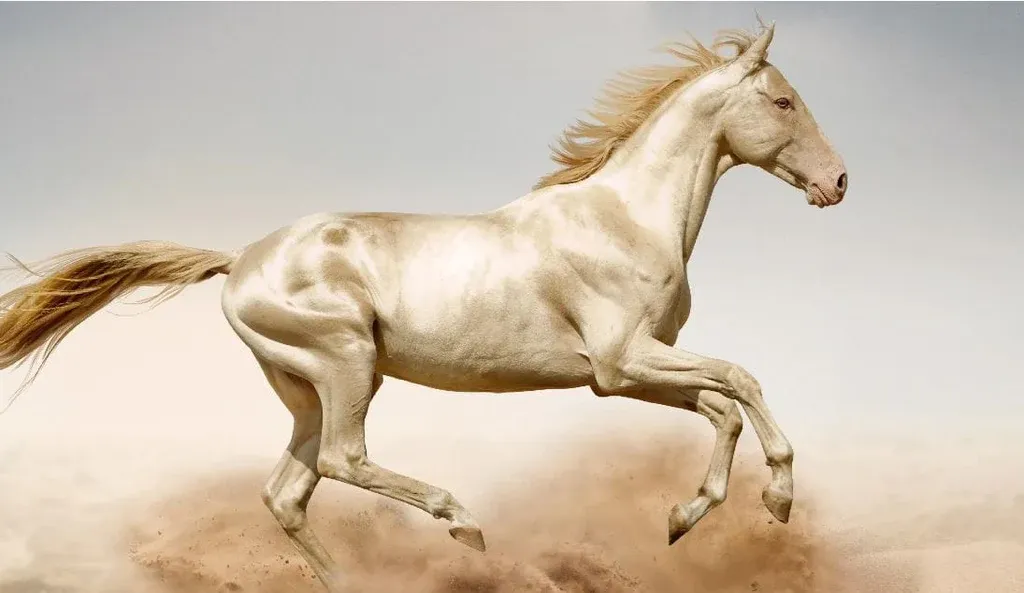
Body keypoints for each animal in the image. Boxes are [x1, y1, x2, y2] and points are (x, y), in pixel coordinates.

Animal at [0, 23, 846, 592]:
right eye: (782, 101)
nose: (838, 183)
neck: (625, 215)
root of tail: (241, 260)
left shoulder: (631, 371)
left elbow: (724, 405)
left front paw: (683, 517)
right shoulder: (621, 361)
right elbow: (742, 379)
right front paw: (777, 496)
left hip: (307, 389)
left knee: (287, 491)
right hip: (347, 364)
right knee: (343, 460)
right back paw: (462, 521)